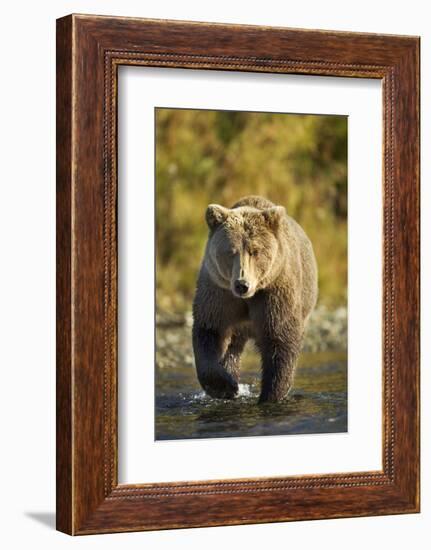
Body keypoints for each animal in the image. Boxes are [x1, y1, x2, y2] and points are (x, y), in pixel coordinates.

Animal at [192, 196, 318, 404]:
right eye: (231, 251)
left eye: (255, 251)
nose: (242, 284)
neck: (248, 298)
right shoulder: (219, 292)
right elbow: (210, 331)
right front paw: (225, 386)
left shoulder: (274, 292)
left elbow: (280, 339)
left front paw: (270, 395)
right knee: (232, 347)